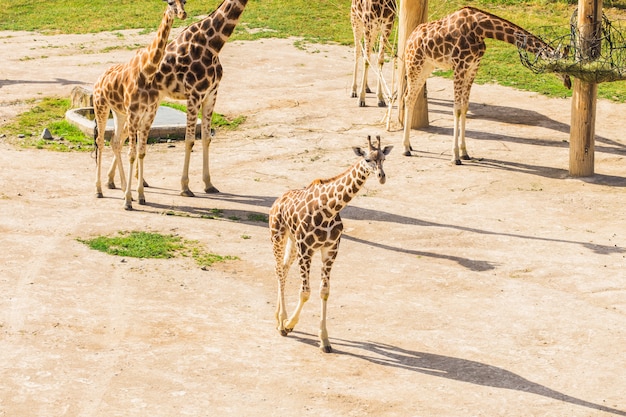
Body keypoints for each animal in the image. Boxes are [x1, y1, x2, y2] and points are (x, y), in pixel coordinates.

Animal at [91, 0, 186, 210]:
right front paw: (128, 200)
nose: (183, 14)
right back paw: (99, 190)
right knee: (100, 141)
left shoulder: (149, 115)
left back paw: (123, 188)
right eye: (170, 2)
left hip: (119, 113)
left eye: (184, 2)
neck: (148, 71)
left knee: (115, 141)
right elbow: (132, 154)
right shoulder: (134, 114)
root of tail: (98, 80)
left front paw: (140, 196)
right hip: (101, 107)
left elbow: (141, 153)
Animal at [266, 136, 390, 352]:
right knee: (279, 269)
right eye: (367, 159)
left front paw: (324, 340)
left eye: (383, 158)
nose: (381, 176)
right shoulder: (306, 250)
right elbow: (305, 292)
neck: (330, 209)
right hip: (278, 235)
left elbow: (324, 291)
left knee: (283, 268)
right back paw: (281, 321)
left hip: (292, 240)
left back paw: (277, 318)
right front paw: (289, 324)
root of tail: (278, 200)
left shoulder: (330, 249)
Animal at [400, 6, 572, 164]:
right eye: (558, 67)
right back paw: (405, 148)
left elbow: (464, 108)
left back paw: (410, 145)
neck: (480, 29)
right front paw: (455, 156)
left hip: (427, 67)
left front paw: (464, 152)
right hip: (414, 64)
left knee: (410, 97)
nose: (569, 82)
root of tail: (409, 38)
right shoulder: (459, 67)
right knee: (408, 98)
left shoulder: (473, 67)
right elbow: (456, 109)